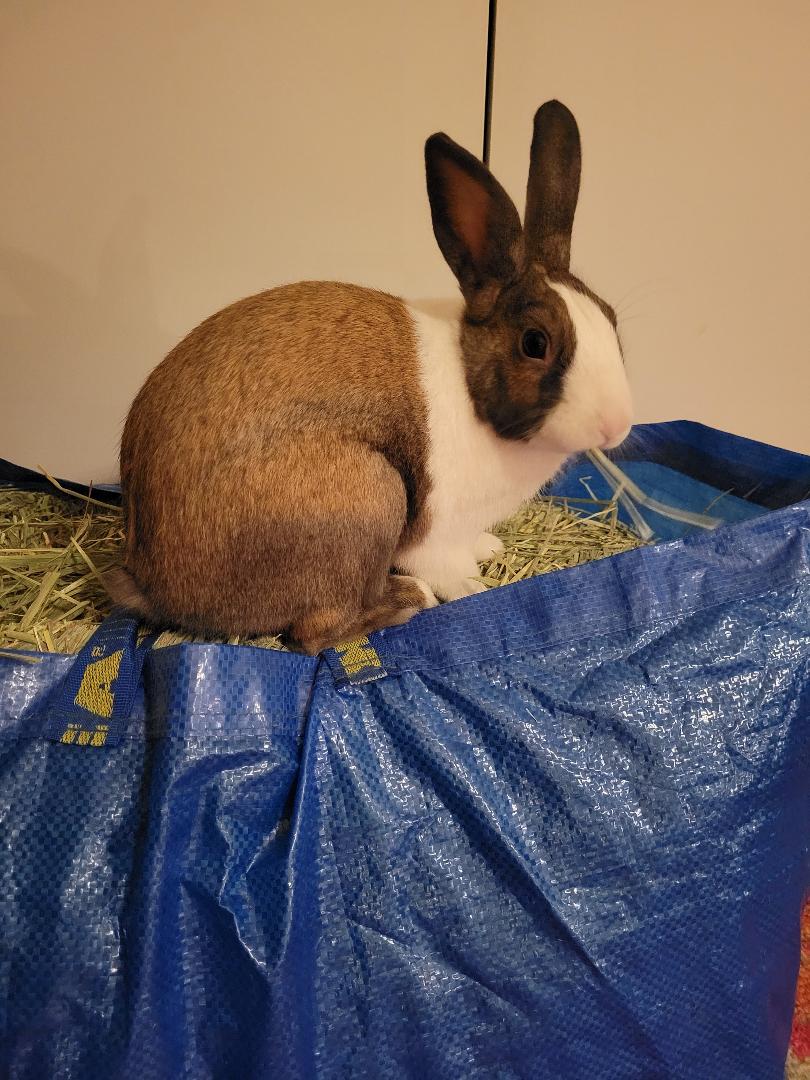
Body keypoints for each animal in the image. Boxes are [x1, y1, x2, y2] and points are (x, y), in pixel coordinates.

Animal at [107, 100, 632, 655]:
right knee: (315, 632)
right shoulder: (435, 533)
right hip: (371, 494)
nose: (617, 425)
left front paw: (489, 548)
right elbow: (447, 569)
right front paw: (475, 588)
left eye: (611, 318)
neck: (472, 386)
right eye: (535, 343)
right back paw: (407, 599)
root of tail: (154, 585)